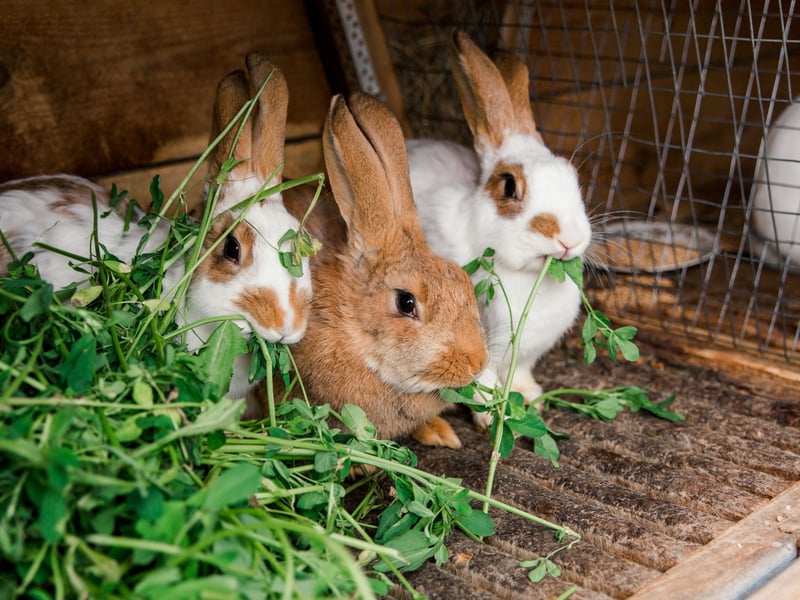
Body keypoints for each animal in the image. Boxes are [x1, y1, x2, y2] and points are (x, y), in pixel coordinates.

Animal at [405, 30, 592, 424]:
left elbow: (519, 373)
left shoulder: (525, 356)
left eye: (573, 178)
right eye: (508, 186)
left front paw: (531, 396)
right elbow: (480, 379)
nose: (570, 239)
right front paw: (491, 416)